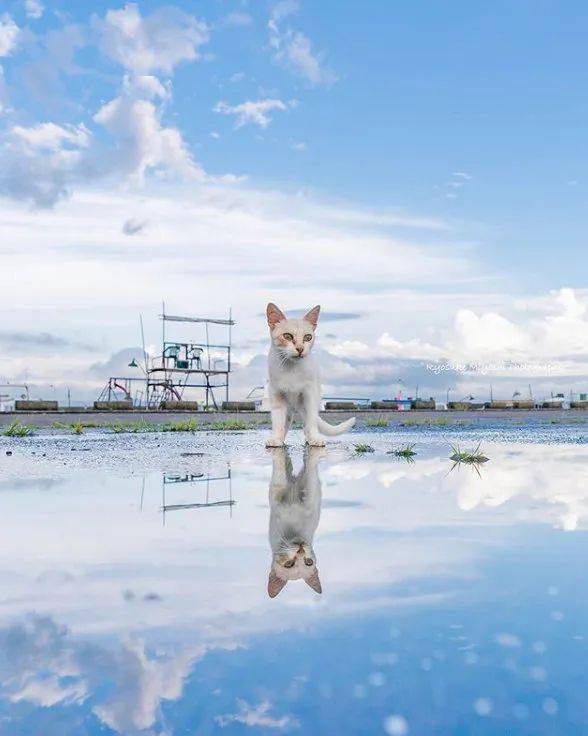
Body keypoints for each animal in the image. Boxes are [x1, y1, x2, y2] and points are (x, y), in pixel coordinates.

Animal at [266, 302, 354, 446]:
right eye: (287, 336)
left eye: (308, 337)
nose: (300, 348)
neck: (292, 369)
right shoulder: (277, 395)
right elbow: (278, 422)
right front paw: (277, 438)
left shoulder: (309, 394)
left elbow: (311, 421)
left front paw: (314, 438)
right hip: (289, 408)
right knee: (287, 422)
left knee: (307, 422)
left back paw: (309, 438)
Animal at [268, 448, 324, 600]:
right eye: (289, 564)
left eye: (308, 562)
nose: (301, 549)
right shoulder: (277, 494)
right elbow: (280, 473)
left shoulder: (312, 494)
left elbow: (310, 473)